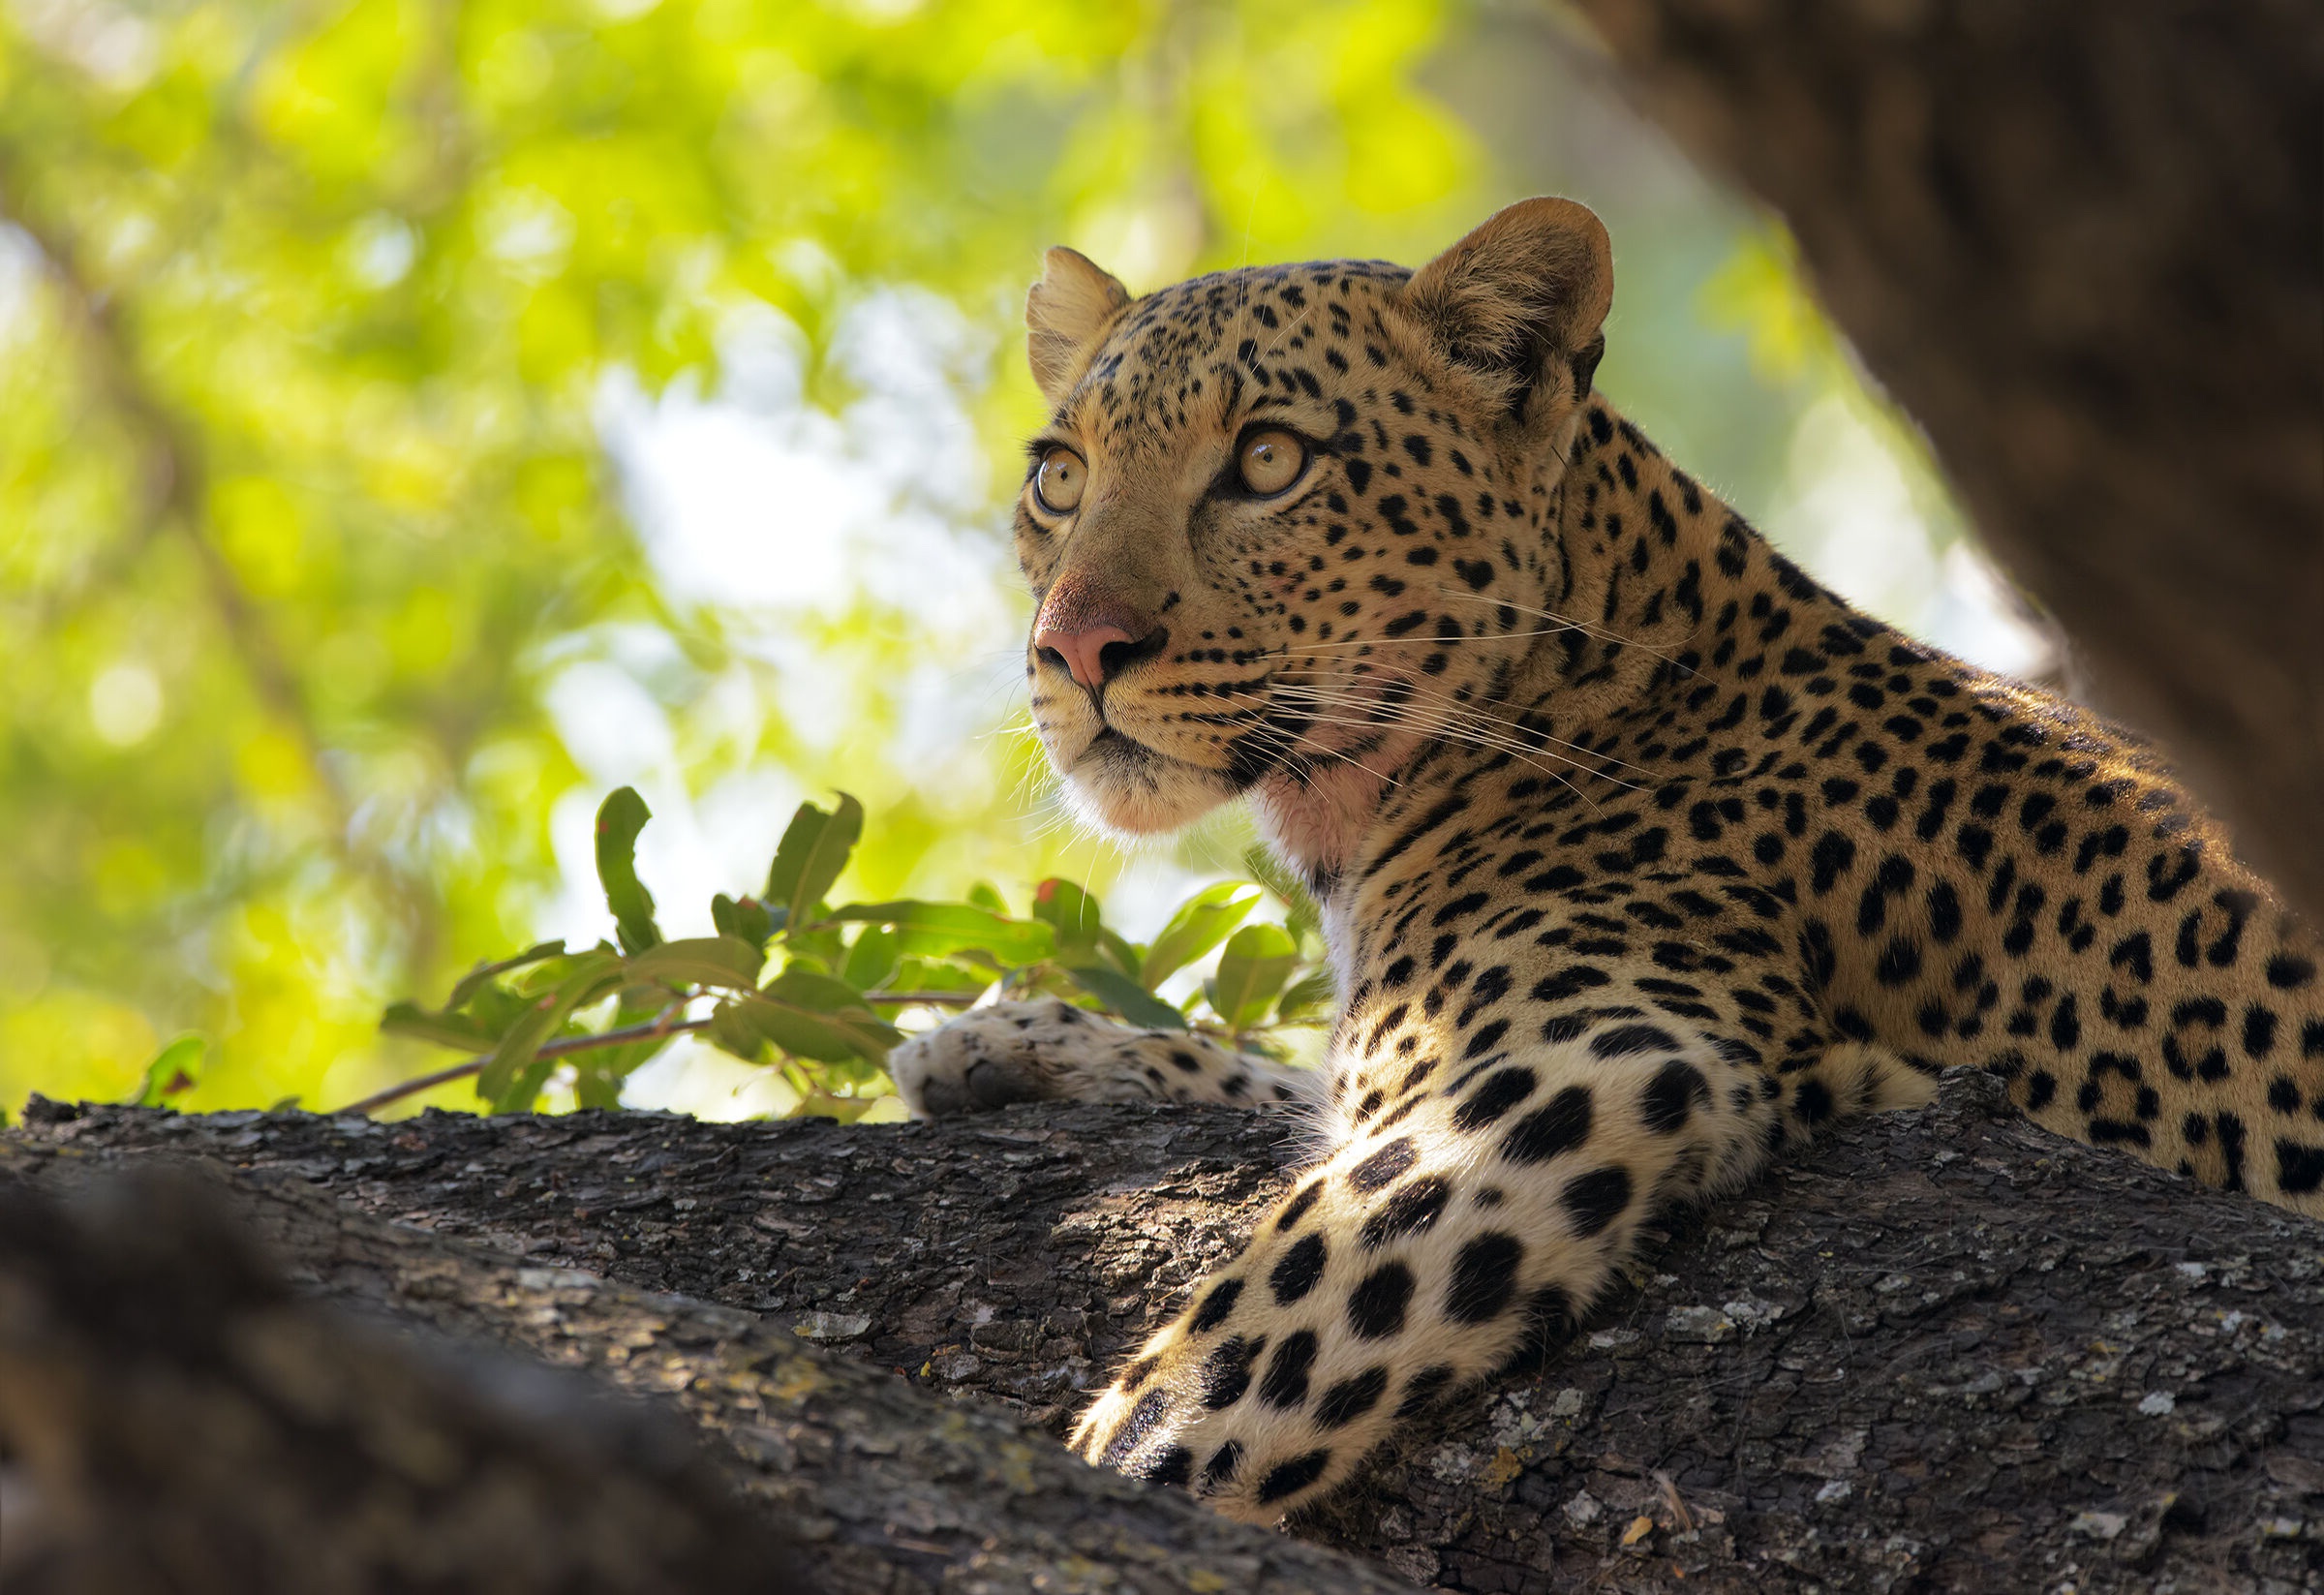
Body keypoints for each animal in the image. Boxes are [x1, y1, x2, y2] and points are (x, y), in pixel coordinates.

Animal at [878, 196, 2314, 1524]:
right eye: (1060, 477)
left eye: (1269, 460)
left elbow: (1232, 1351)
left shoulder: (1593, 1057)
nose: (1074, 647)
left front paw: (1074, 1484)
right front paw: (1008, 1041)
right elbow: (1273, 1078)